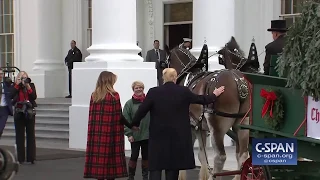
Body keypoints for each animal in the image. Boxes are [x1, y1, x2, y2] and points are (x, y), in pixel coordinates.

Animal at [164, 37, 258, 180]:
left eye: (167, 60)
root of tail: (240, 83)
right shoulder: (199, 127)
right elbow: (201, 155)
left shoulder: (190, 126)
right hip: (243, 124)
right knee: (242, 155)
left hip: (217, 127)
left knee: (220, 157)